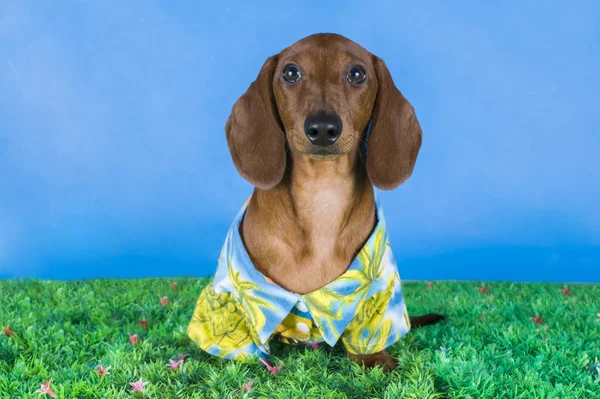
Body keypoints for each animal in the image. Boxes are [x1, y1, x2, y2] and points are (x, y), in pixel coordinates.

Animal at [213, 32, 442, 372]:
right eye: (290, 72)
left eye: (357, 73)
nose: (322, 128)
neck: (321, 196)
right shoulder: (235, 292)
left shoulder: (380, 287)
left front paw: (375, 358)